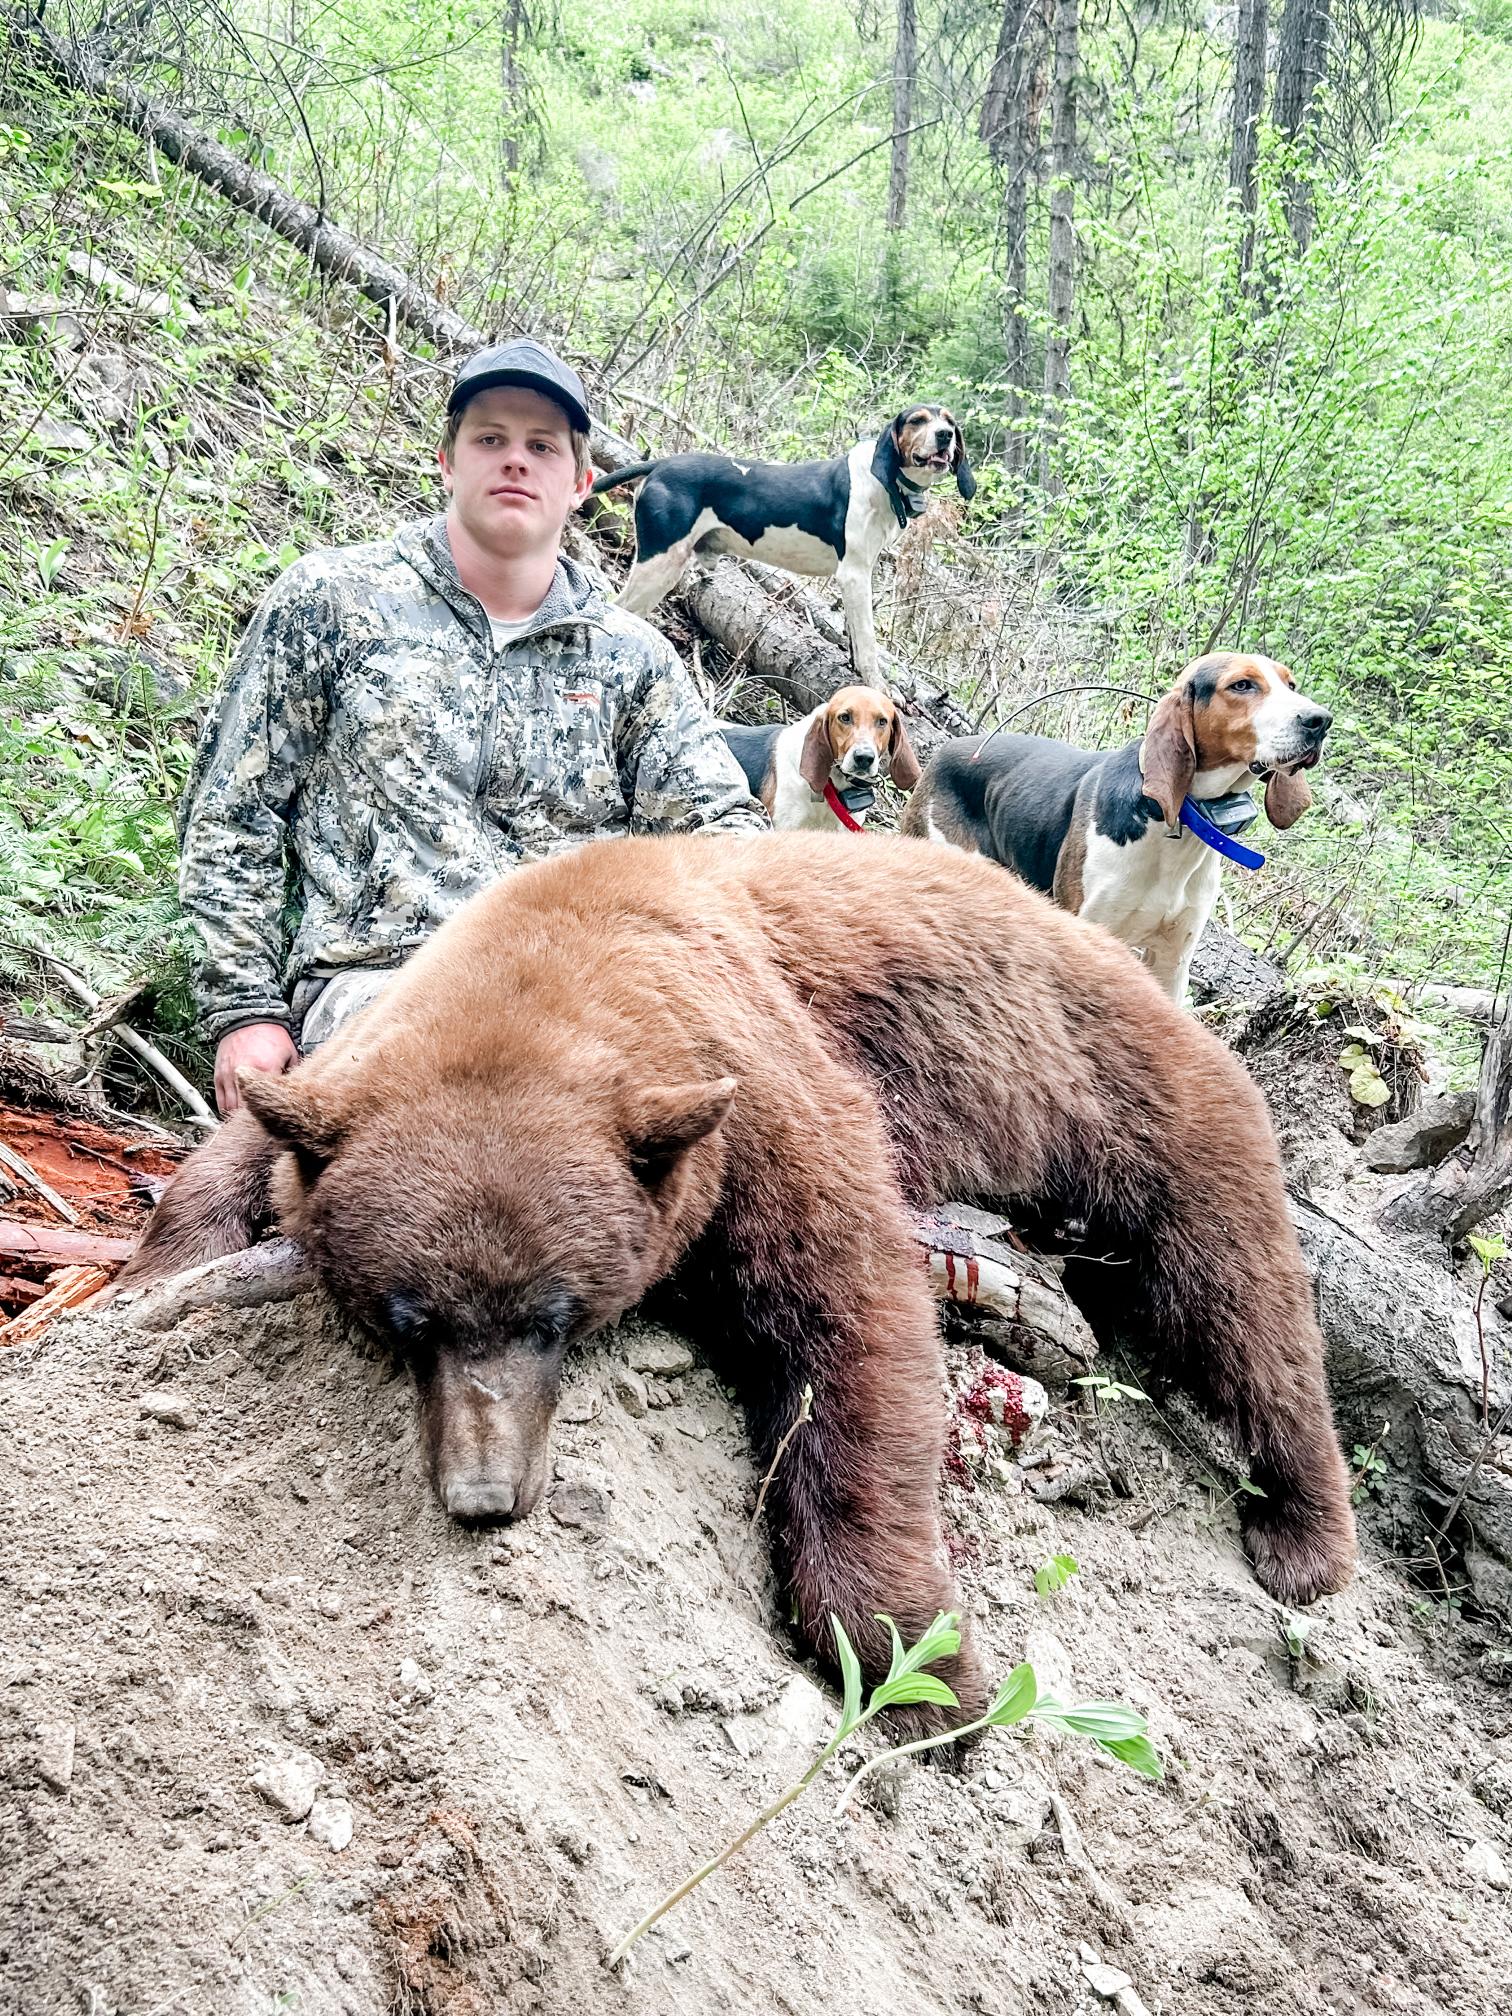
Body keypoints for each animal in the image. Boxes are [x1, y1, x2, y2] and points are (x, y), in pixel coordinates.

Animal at [115, 832, 1357, 1719]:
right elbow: (240, 1149)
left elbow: (850, 1323)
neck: (562, 944)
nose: (485, 1496)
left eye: (555, 1317)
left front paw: (910, 1667)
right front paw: (155, 1269)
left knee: (1239, 1304)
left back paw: (1304, 1536)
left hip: (1127, 1103)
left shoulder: (756, 1088)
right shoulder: (357, 1068)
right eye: (408, 1317)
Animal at [590, 407, 974, 680]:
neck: (885, 480)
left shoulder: (854, 581)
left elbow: (853, 638)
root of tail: (662, 464)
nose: (944, 436)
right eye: (917, 420)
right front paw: (880, 690)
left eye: (949, 422)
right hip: (660, 565)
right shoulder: (855, 575)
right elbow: (867, 647)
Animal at [903, 653, 1331, 1001]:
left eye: (1291, 685)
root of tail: (944, 751)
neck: (1177, 826)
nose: (1320, 720)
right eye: (1242, 685)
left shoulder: (1173, 960)